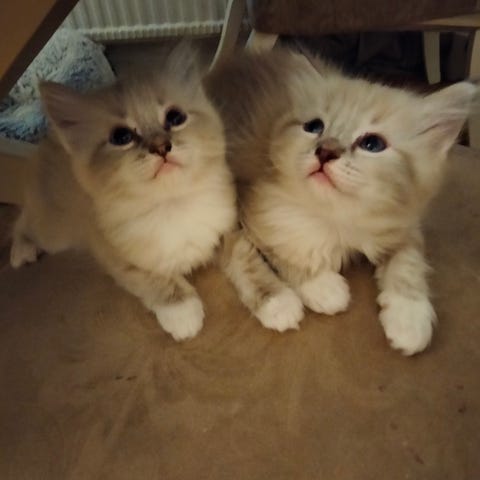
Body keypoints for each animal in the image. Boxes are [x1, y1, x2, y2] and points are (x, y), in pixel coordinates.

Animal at [10, 48, 237, 341]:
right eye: (121, 137)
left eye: (175, 118)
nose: (161, 146)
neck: (171, 204)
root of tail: (47, 141)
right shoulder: (117, 257)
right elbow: (157, 280)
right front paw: (183, 314)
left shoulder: (224, 227)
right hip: (54, 232)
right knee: (22, 220)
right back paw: (21, 252)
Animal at [205, 48, 477, 355]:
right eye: (314, 127)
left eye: (373, 144)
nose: (325, 150)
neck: (339, 219)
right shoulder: (252, 206)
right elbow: (280, 250)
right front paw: (321, 286)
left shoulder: (405, 223)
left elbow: (408, 264)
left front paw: (409, 319)